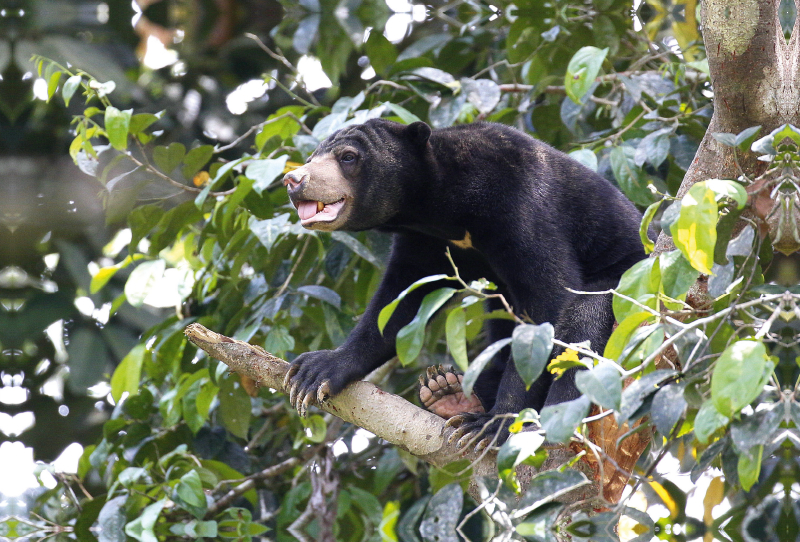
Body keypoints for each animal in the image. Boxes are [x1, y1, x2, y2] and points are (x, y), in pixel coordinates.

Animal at [282, 119, 644, 450]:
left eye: (348, 157)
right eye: (312, 157)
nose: (293, 180)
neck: (440, 207)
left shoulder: (521, 206)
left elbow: (552, 299)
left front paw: (495, 424)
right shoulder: (424, 243)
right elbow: (398, 302)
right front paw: (317, 370)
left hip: (629, 286)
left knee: (584, 320)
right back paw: (447, 390)